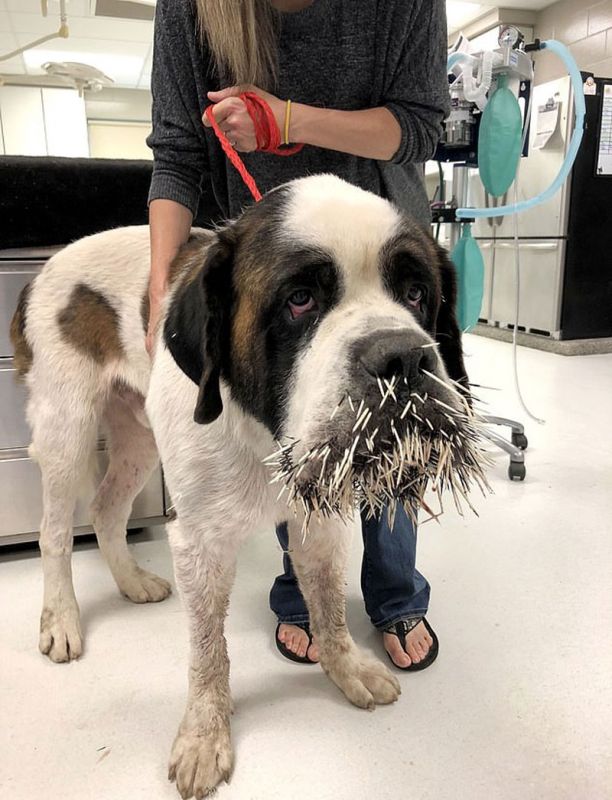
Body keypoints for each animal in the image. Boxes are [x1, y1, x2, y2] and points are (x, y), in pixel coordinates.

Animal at [11, 174, 469, 799]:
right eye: (300, 299)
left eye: (418, 293)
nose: (402, 355)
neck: (264, 433)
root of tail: (43, 269)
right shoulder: (201, 543)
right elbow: (209, 652)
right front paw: (205, 735)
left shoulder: (319, 523)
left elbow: (328, 606)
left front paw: (346, 668)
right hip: (69, 429)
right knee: (55, 531)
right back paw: (60, 619)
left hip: (139, 438)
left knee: (106, 509)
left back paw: (131, 582)